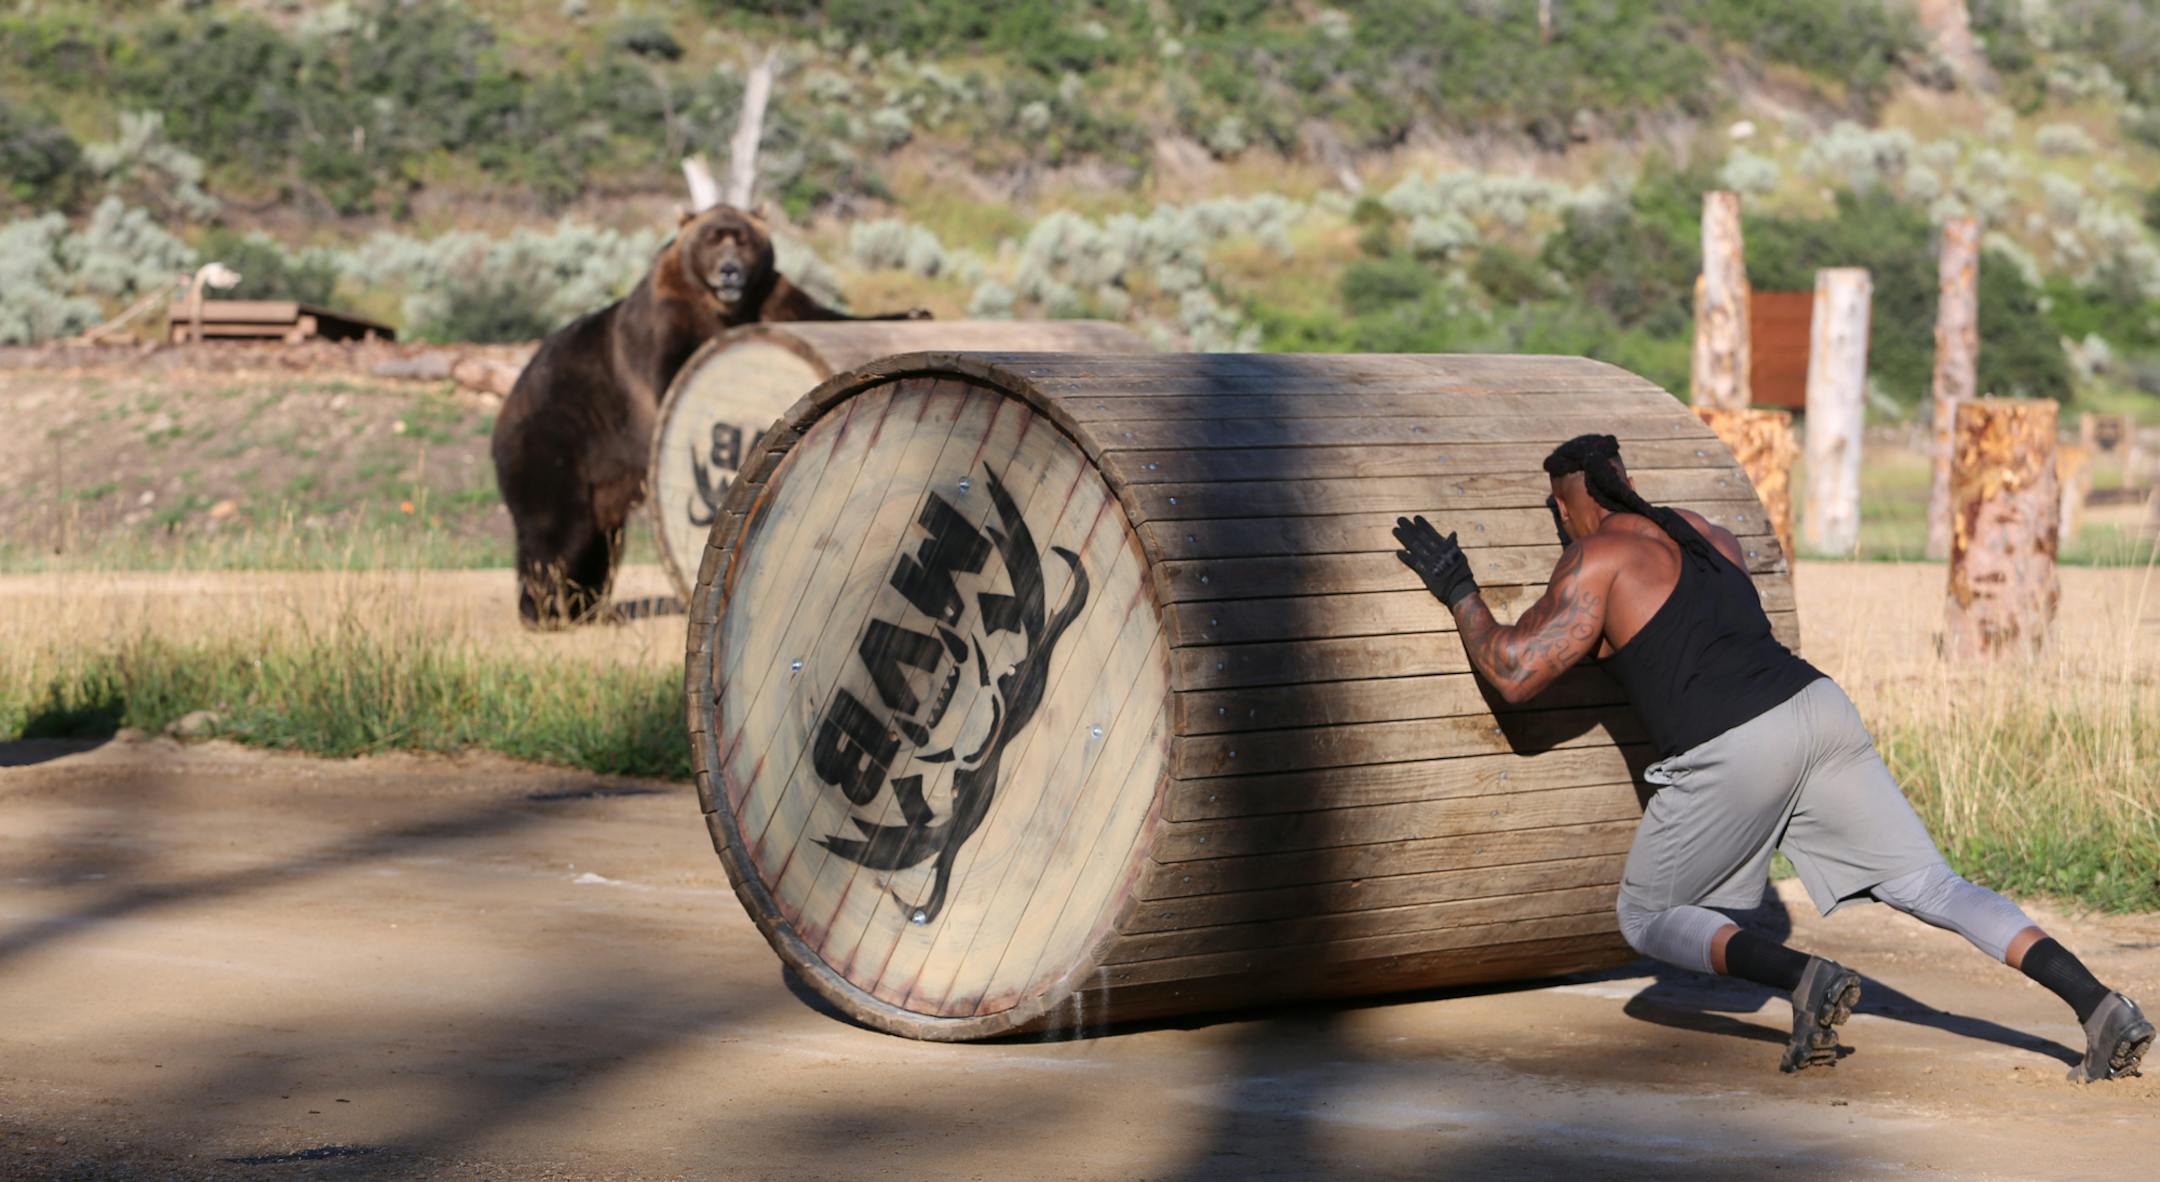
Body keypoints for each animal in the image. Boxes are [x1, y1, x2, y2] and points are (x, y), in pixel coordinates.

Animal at [491, 204, 929, 628]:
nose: (729, 271)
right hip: (557, 437)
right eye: (712, 239)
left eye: (743, 239)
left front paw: (914, 312)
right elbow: (675, 372)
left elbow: (825, 314)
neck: (724, 308)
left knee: (601, 541)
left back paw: (592, 608)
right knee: (558, 531)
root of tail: (508, 400)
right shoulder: (665, 325)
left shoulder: (771, 296)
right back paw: (545, 611)